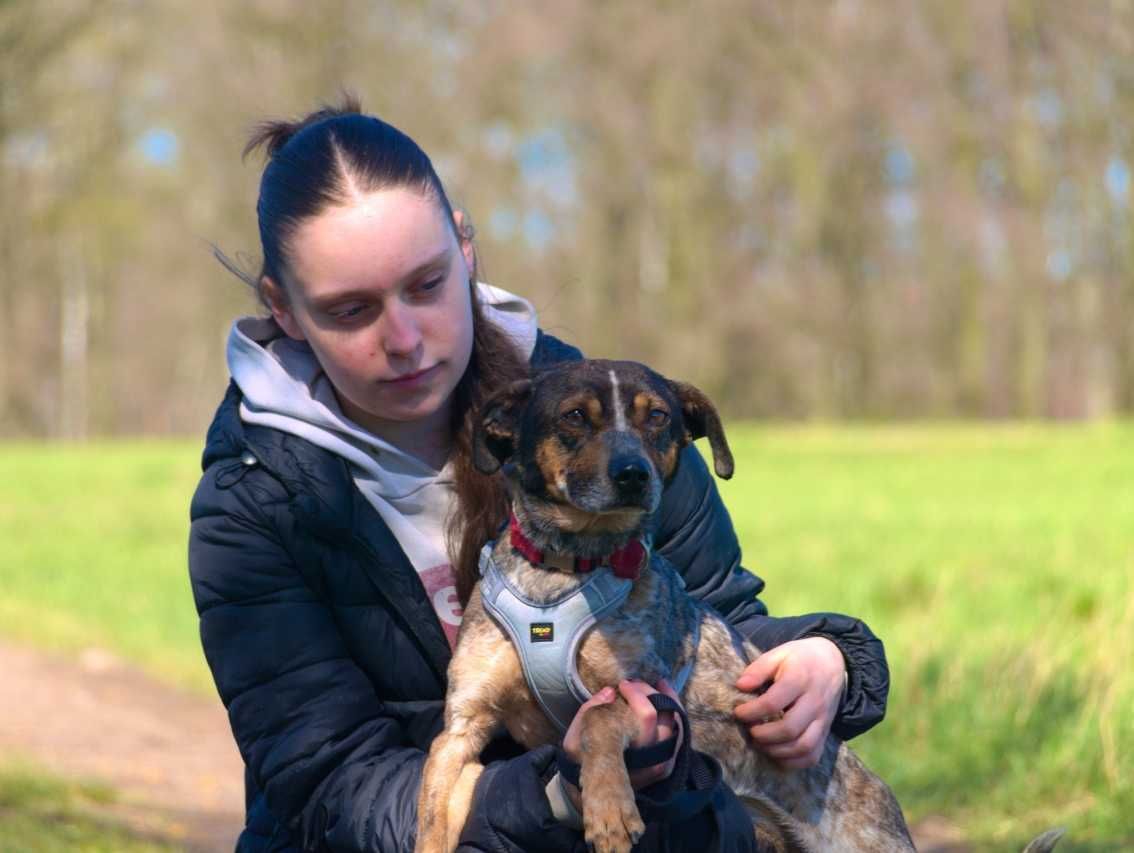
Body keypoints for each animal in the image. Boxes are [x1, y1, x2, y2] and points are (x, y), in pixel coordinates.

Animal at [415, 360, 1052, 852]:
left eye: (658, 417)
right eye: (574, 416)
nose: (633, 474)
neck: (564, 570)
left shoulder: (649, 697)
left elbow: (596, 717)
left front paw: (609, 809)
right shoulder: (462, 729)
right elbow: (431, 804)